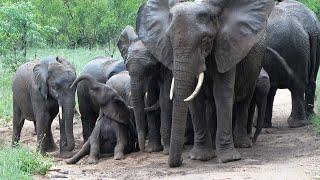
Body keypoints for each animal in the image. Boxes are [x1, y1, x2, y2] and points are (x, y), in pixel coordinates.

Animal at [138, 0, 276, 167]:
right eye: (169, 39)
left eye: (205, 40)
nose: (180, 160)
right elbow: (194, 98)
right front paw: (200, 157)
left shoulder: (226, 48)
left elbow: (223, 93)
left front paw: (229, 159)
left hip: (254, 66)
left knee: (244, 100)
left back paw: (243, 144)